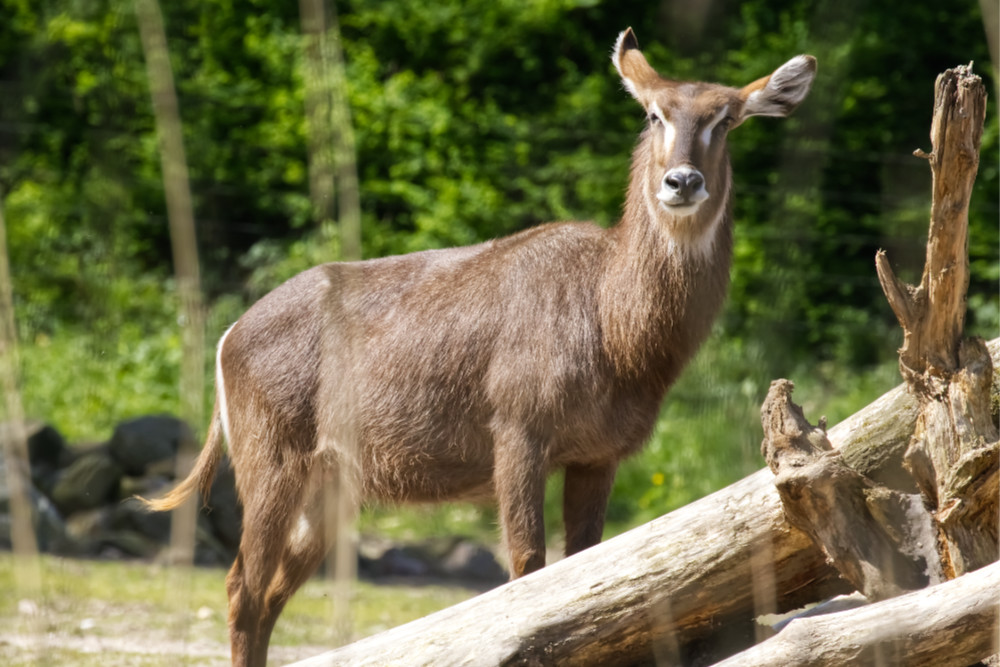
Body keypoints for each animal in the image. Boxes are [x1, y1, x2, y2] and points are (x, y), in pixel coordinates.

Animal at [145, 28, 816, 664]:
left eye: (725, 118)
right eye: (654, 113)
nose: (682, 181)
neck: (616, 328)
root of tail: (228, 337)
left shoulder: (599, 455)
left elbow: (586, 568)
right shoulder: (518, 433)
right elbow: (527, 571)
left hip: (328, 486)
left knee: (269, 595)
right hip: (272, 463)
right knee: (242, 587)